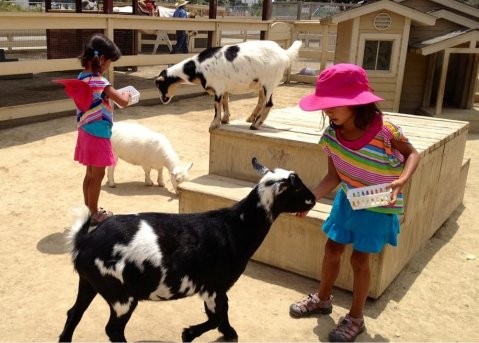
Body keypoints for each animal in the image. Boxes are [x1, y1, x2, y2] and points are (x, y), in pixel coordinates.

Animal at [58, 159, 316, 343]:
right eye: (296, 188)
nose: (313, 199)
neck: (234, 226)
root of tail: (85, 241)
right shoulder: (214, 286)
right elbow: (215, 316)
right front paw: (189, 334)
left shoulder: (216, 289)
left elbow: (222, 313)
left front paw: (229, 333)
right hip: (121, 296)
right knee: (112, 329)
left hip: (89, 283)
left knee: (73, 313)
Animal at [156, 40, 302, 130]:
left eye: (160, 85)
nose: (163, 99)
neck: (198, 67)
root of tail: (284, 53)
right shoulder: (224, 88)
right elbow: (225, 101)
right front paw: (225, 119)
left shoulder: (218, 87)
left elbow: (216, 105)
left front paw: (214, 124)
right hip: (261, 85)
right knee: (261, 101)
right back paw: (251, 118)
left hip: (269, 83)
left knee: (268, 103)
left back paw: (255, 125)